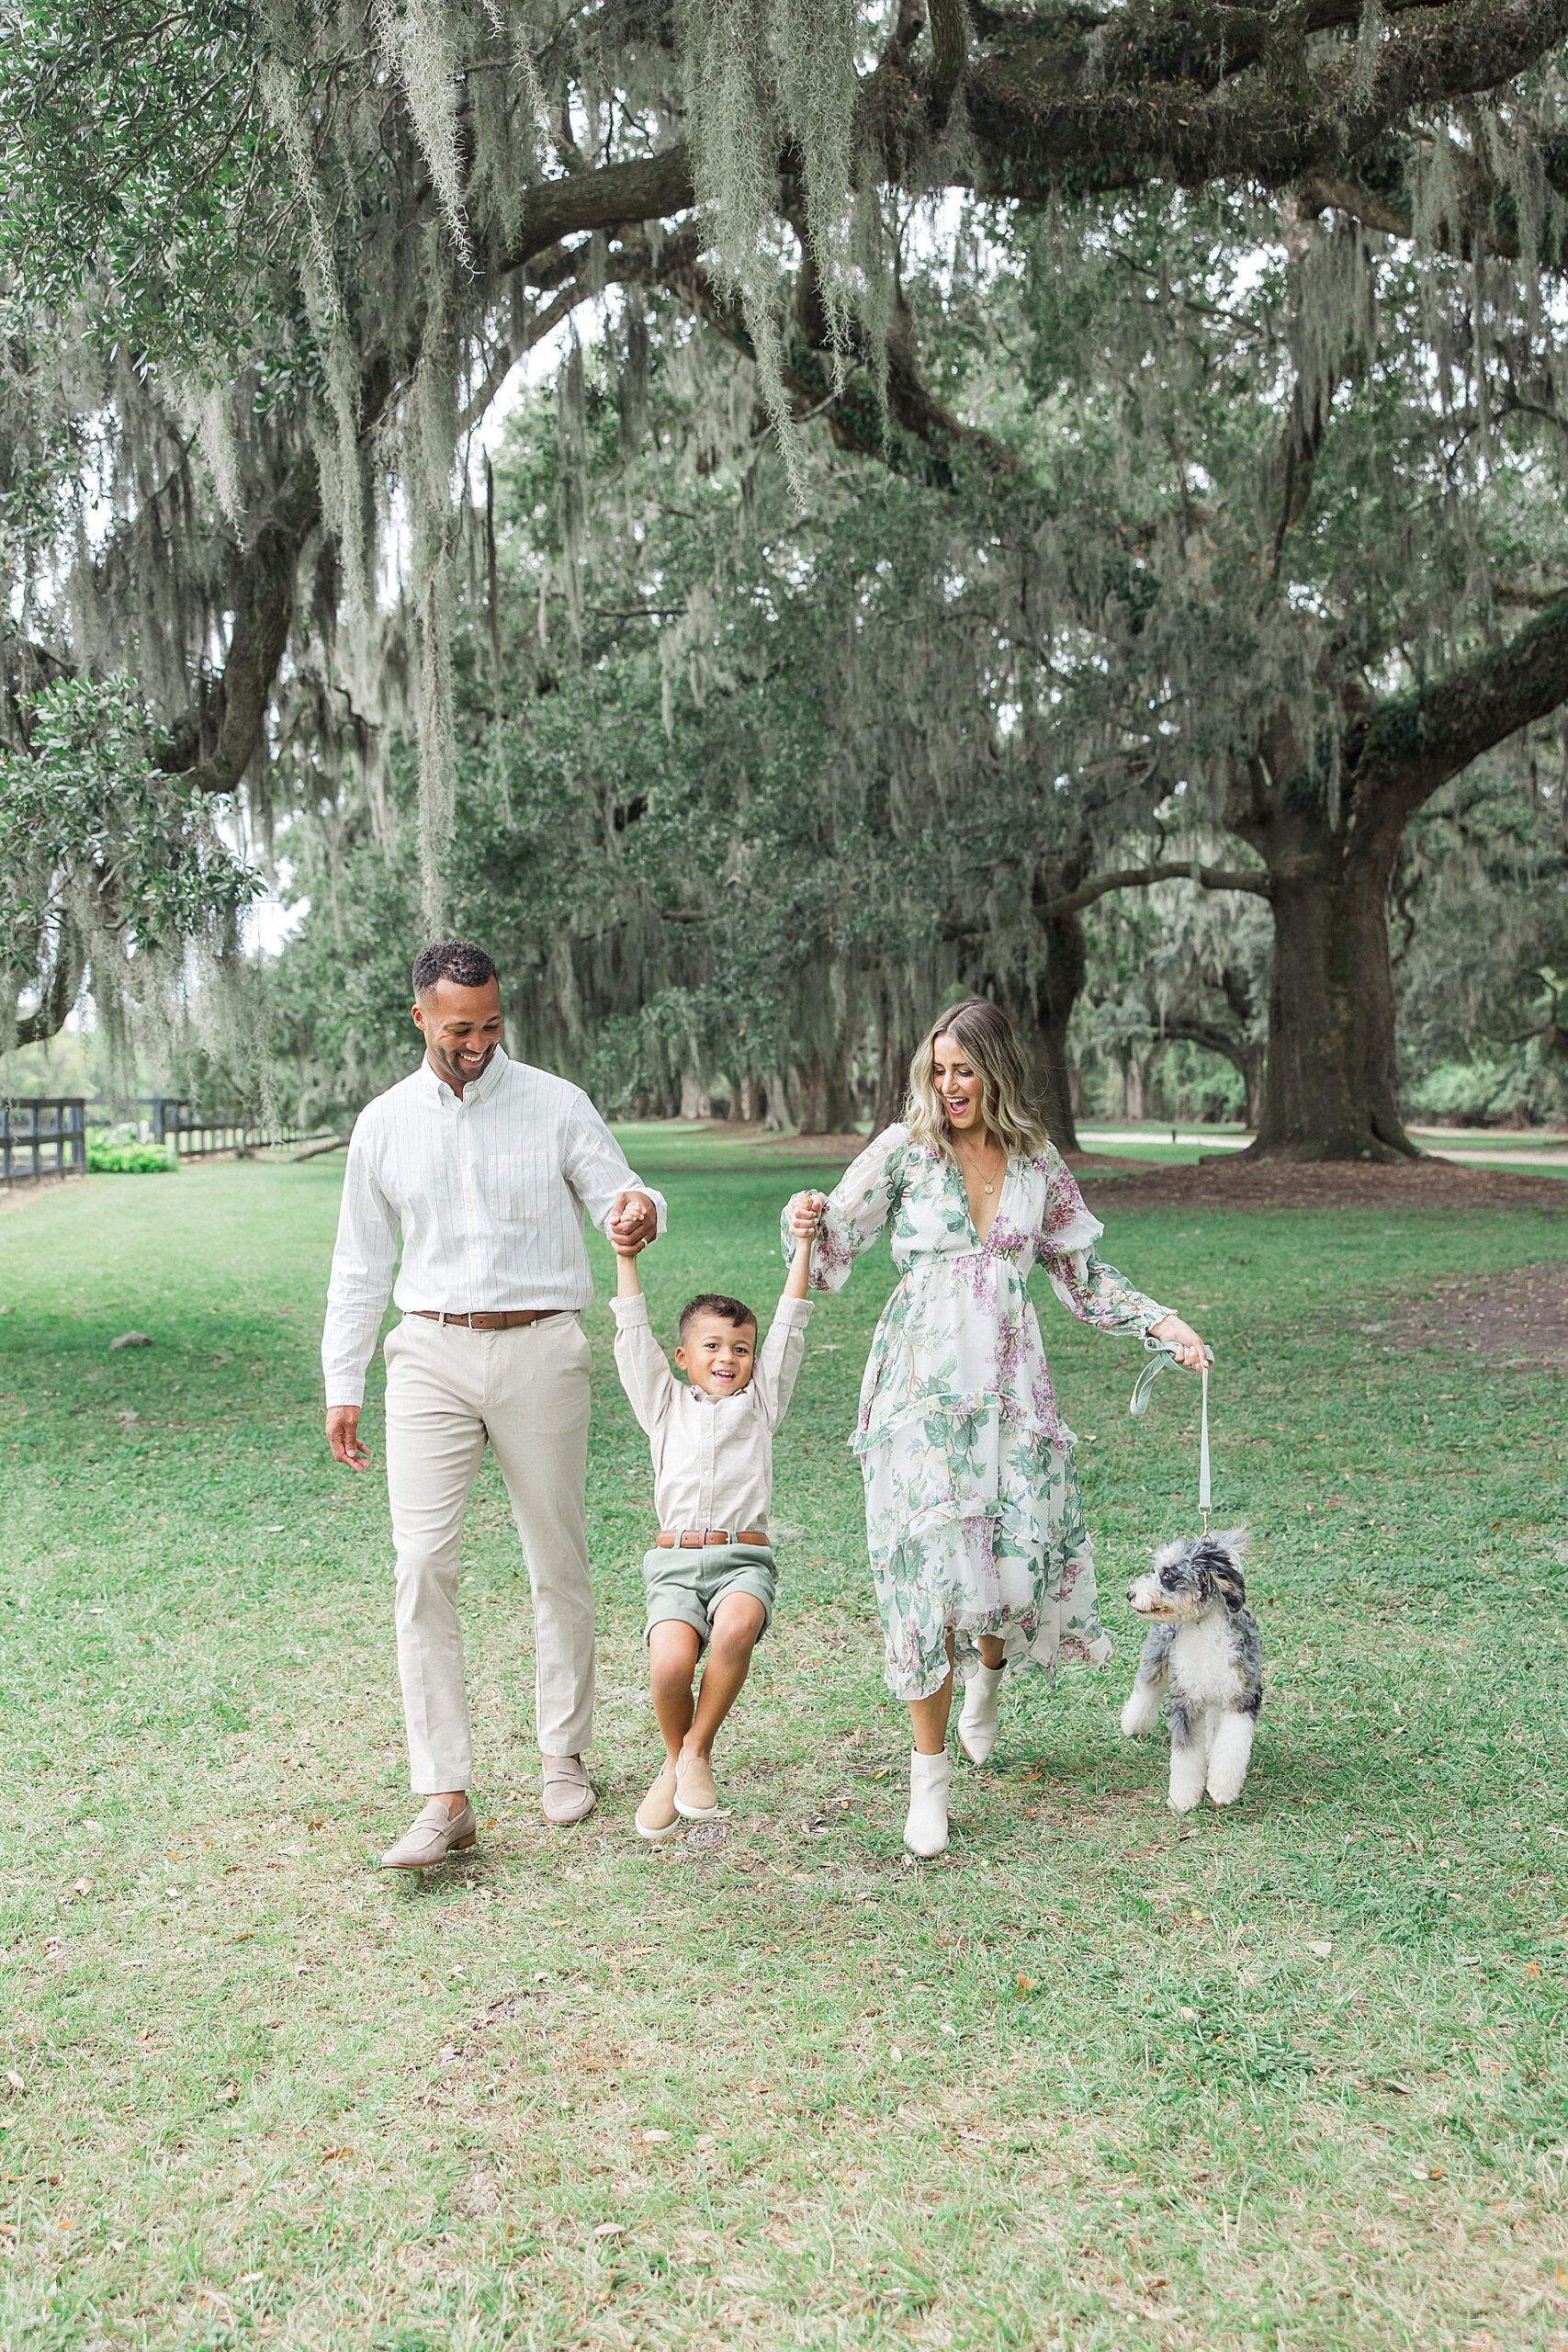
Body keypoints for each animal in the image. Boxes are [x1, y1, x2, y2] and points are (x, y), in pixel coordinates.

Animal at [1123, 1533, 1269, 1806]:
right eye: (1154, 1570)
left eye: (1168, 1575)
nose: (1130, 1594)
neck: (1204, 1632)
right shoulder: (1185, 1701)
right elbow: (1186, 1757)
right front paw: (1182, 1799)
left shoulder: (1242, 1698)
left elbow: (1232, 1746)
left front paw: (1222, 1788)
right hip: (1156, 1659)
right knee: (1145, 1690)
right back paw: (1132, 1723)